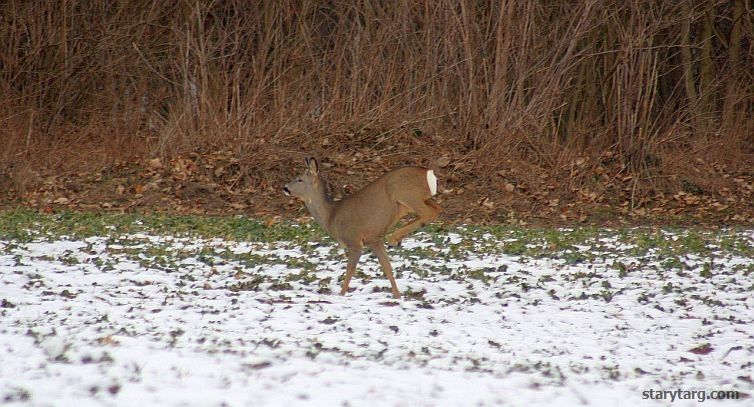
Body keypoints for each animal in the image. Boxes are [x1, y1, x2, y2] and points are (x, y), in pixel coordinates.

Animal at [284, 157, 444, 300]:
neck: (331, 216)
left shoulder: (354, 241)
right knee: (437, 208)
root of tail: (428, 173)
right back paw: (396, 238)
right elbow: (387, 267)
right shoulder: (374, 239)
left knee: (429, 212)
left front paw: (341, 295)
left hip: (405, 194)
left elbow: (350, 270)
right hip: (414, 200)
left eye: (299, 179)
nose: (285, 188)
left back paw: (394, 238)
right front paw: (397, 296)